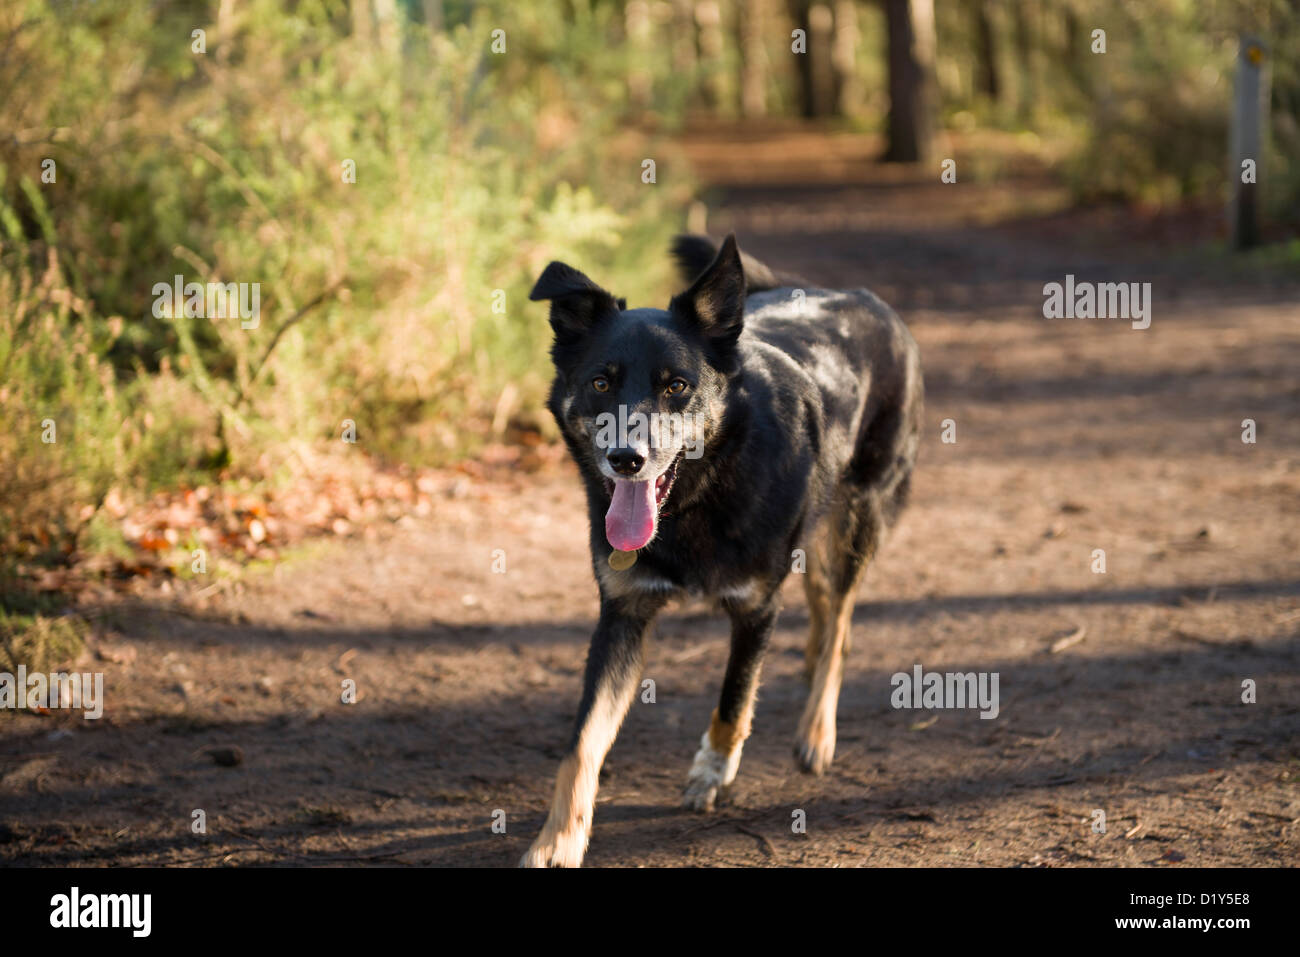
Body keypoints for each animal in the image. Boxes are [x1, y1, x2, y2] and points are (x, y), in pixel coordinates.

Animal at [520, 234, 925, 868]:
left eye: (676, 386)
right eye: (601, 383)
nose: (626, 458)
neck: (697, 499)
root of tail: (860, 295)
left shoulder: (757, 608)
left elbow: (734, 700)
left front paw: (713, 771)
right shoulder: (622, 615)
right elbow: (582, 744)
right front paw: (558, 840)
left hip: (858, 514)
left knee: (839, 618)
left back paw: (817, 731)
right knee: (823, 603)